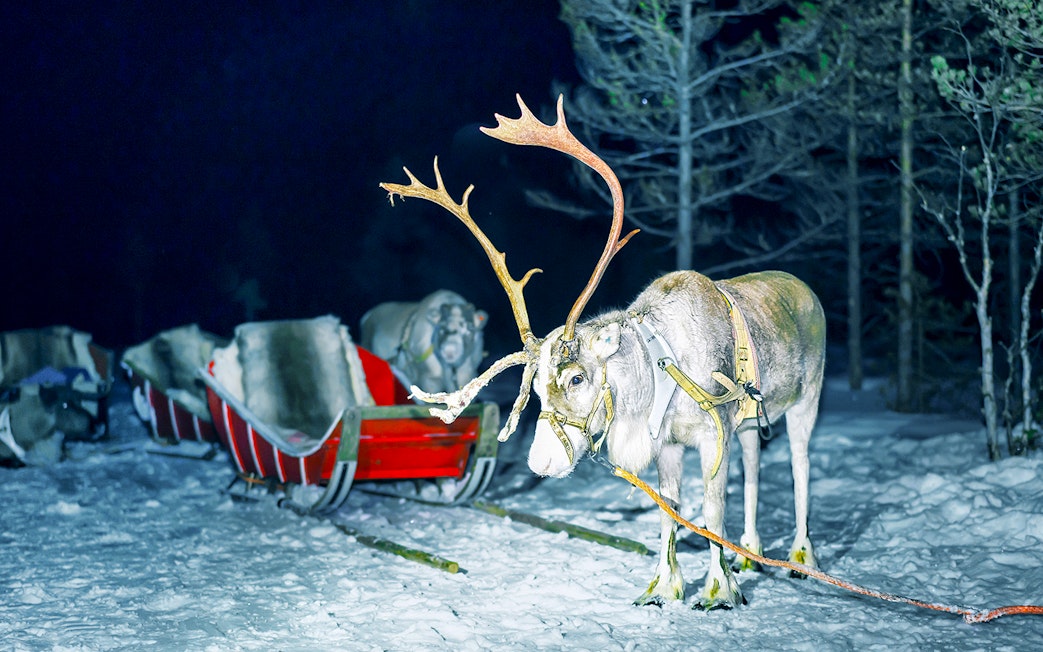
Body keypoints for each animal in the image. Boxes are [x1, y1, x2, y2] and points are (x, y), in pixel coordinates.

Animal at [379, 94, 826, 610]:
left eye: (577, 377)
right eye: (533, 388)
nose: (541, 463)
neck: (659, 367)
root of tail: (806, 291)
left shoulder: (714, 434)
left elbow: (712, 512)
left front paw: (718, 590)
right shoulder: (669, 444)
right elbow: (670, 512)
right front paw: (662, 588)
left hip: (806, 399)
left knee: (799, 467)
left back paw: (801, 556)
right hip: (751, 421)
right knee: (754, 467)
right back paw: (750, 553)